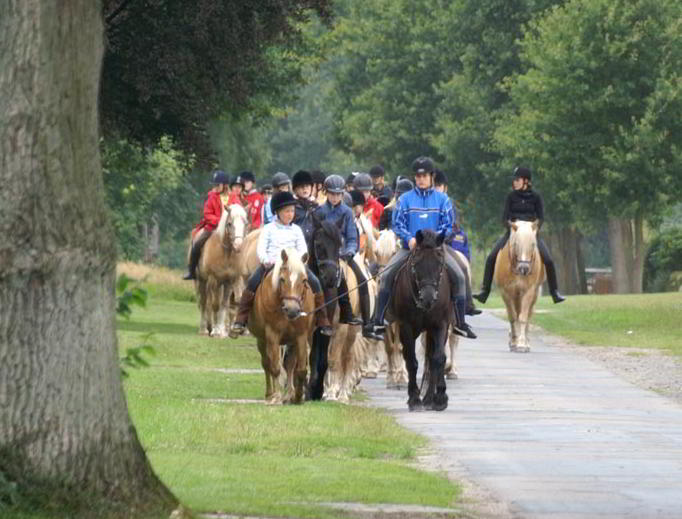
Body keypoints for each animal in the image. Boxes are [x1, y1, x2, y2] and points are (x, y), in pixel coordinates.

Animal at [193, 205, 248, 340]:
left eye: (246, 223)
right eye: (229, 223)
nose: (238, 246)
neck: (226, 254)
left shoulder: (229, 282)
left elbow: (224, 305)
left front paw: (221, 332)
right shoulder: (213, 280)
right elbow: (215, 305)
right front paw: (215, 331)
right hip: (202, 281)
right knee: (204, 303)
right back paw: (204, 330)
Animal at [247, 249, 316, 406]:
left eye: (304, 280)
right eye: (282, 279)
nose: (292, 310)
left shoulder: (301, 336)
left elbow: (300, 369)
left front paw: (297, 397)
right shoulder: (272, 335)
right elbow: (275, 368)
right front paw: (276, 397)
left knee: (289, 365)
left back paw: (289, 394)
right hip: (262, 340)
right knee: (267, 364)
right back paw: (270, 395)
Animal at [388, 230, 452, 412]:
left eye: (439, 264)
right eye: (416, 264)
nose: (428, 299)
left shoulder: (440, 325)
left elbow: (438, 358)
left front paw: (440, 398)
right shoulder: (406, 327)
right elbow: (411, 361)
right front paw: (414, 398)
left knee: (431, 359)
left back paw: (429, 398)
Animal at [492, 219, 544, 354]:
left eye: (533, 244)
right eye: (516, 243)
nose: (524, 268)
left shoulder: (528, 291)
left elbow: (523, 317)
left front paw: (521, 344)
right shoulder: (506, 292)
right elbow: (512, 316)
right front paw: (514, 342)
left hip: (533, 293)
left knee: (528, 314)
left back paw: (526, 341)